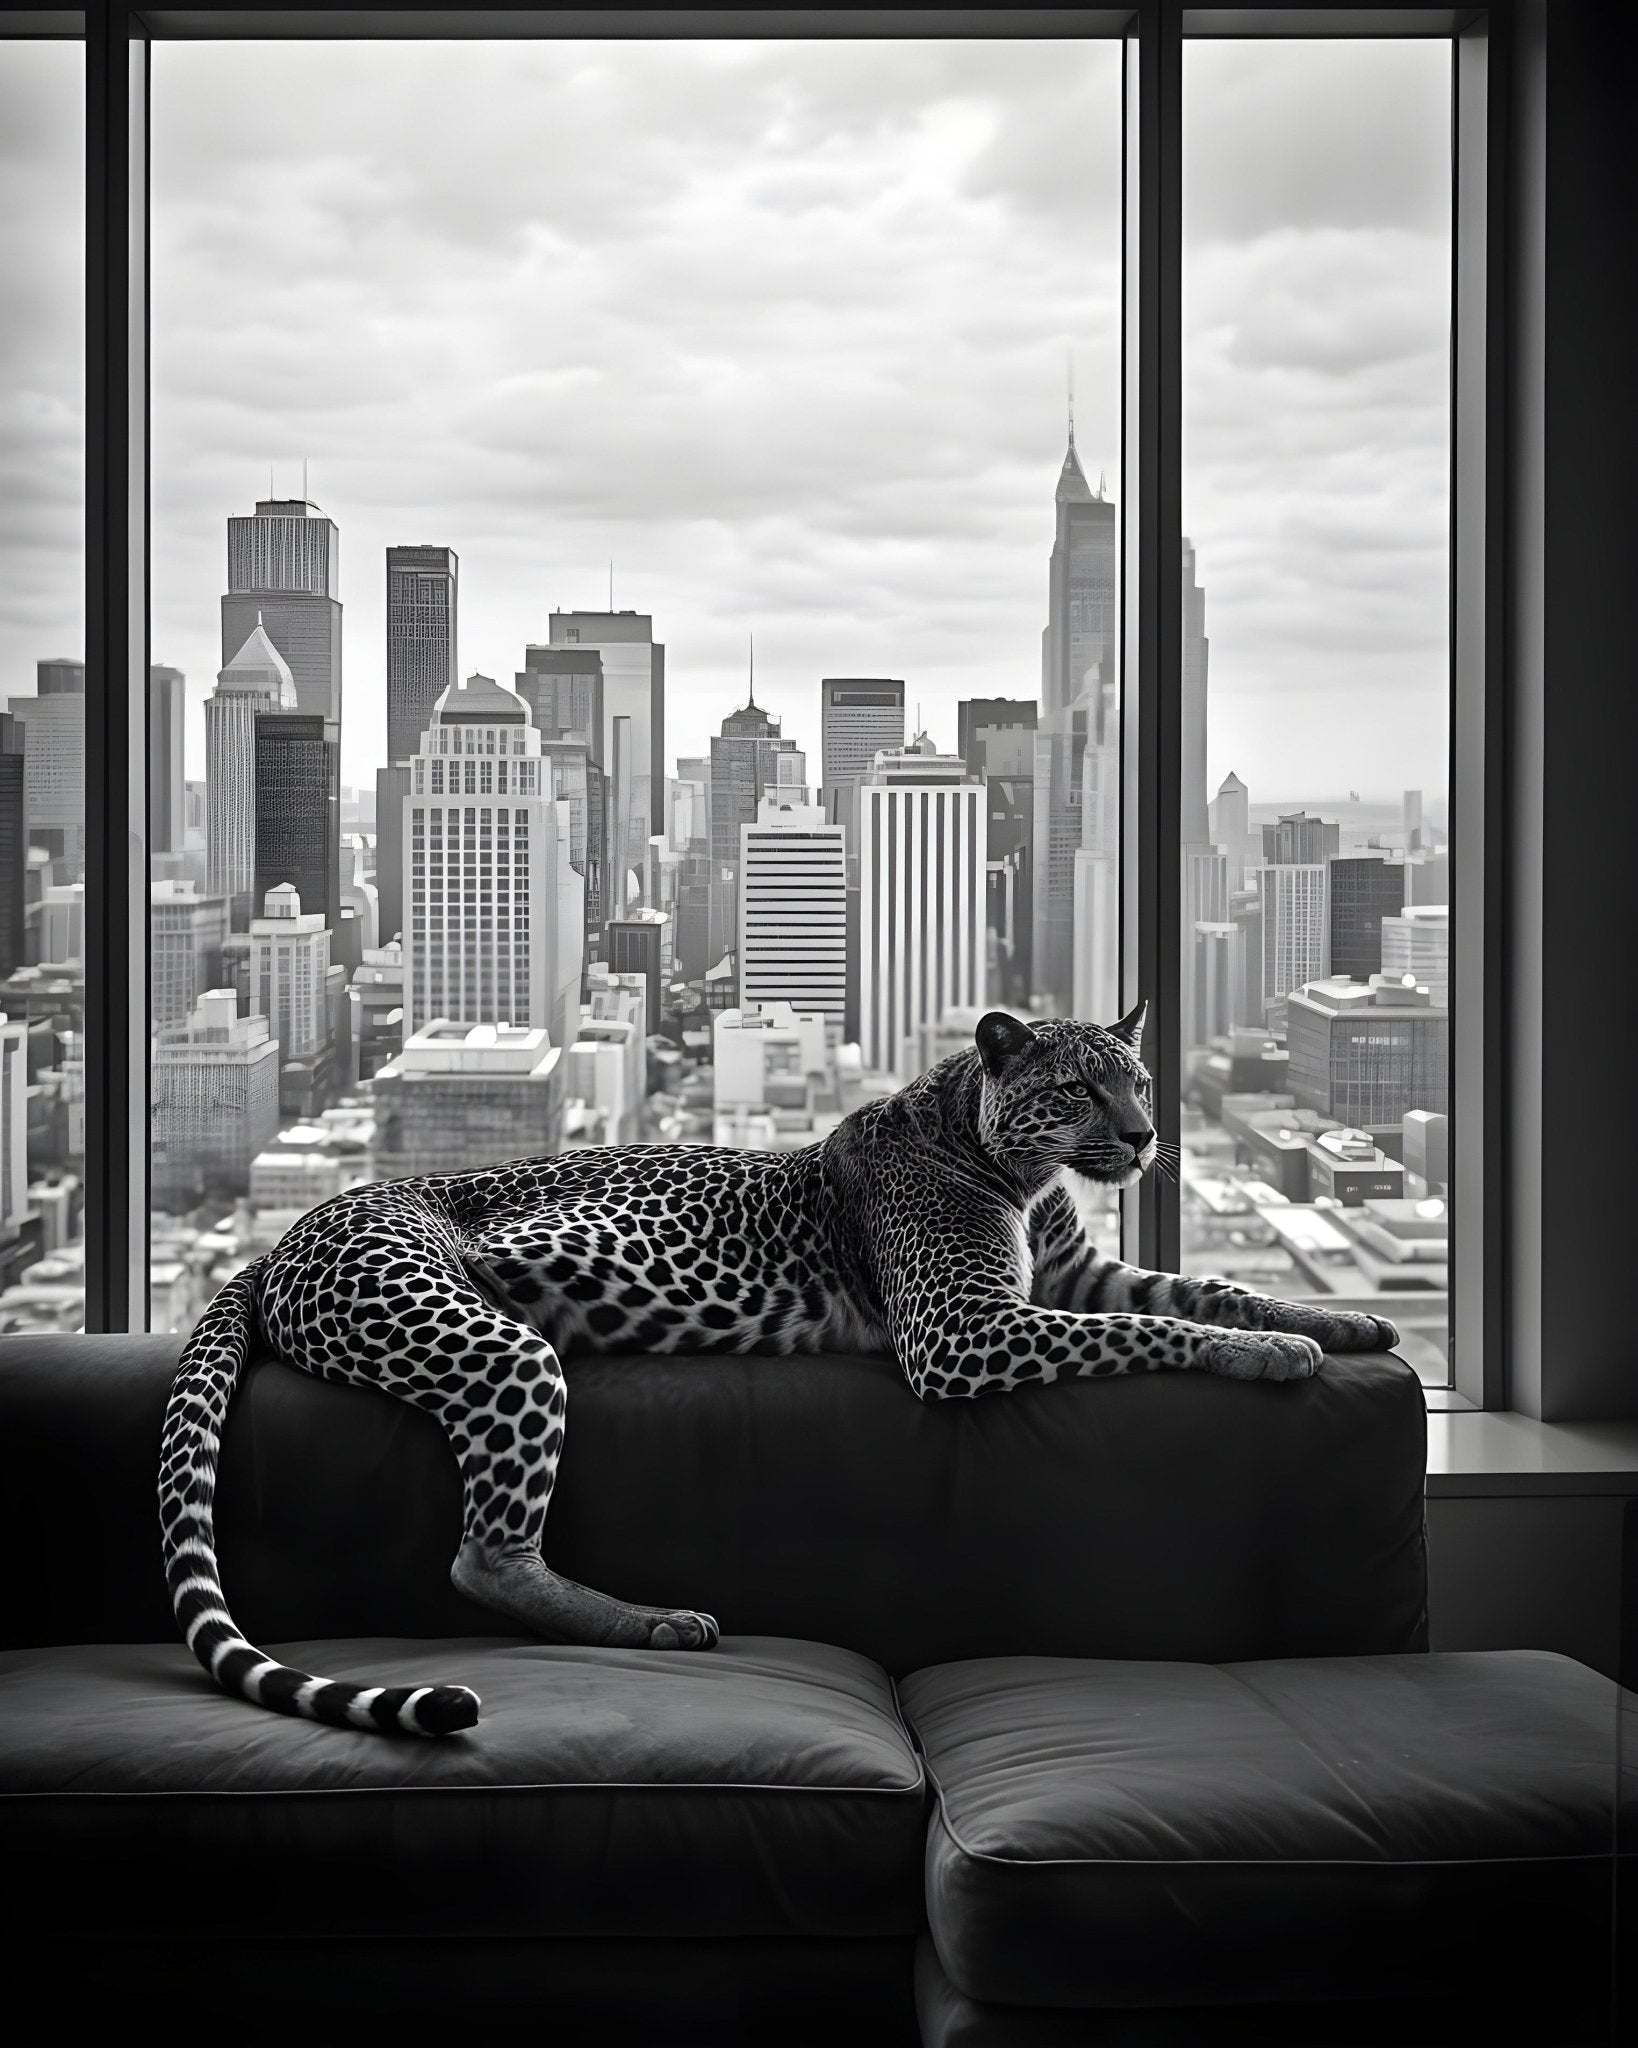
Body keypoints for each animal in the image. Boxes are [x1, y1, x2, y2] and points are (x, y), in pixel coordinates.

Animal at [159, 1003, 1399, 1737]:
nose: (1143, 1137)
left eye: (1138, 1077)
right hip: (489, 1340)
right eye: (1079, 1090)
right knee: (486, 1556)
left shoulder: (1076, 1273)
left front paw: (1336, 1320)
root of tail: (286, 1231)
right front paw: (1272, 1354)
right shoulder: (965, 1327)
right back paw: (657, 1623)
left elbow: (1205, 1289)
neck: (1015, 1164)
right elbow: (1156, 1334)